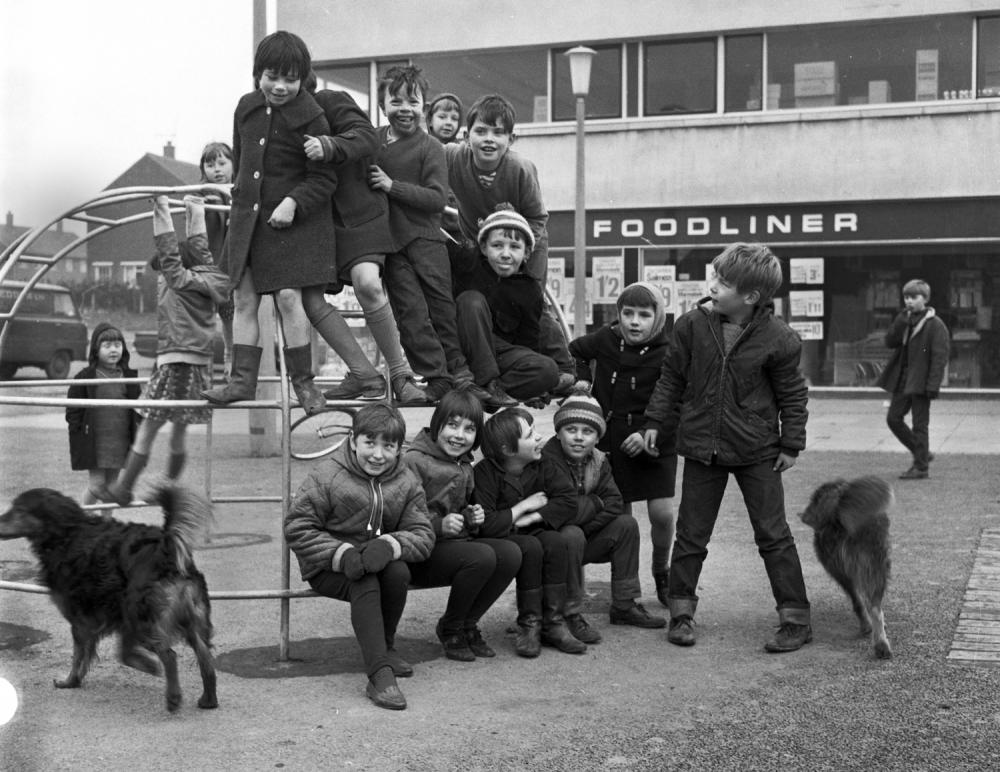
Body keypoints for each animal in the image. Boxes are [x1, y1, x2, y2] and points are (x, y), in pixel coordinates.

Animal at [0, 482, 219, 712]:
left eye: (19, 510)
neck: (67, 534)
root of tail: (164, 547)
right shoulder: (117, 618)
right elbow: (117, 652)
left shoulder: (84, 620)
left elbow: (81, 655)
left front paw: (70, 681)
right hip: (190, 620)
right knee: (206, 660)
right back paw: (208, 700)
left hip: (143, 617)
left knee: (170, 655)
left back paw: (173, 697)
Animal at [800, 474, 896, 660]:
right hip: (869, 565)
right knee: (871, 606)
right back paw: (877, 639)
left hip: (852, 568)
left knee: (863, 603)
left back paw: (874, 637)